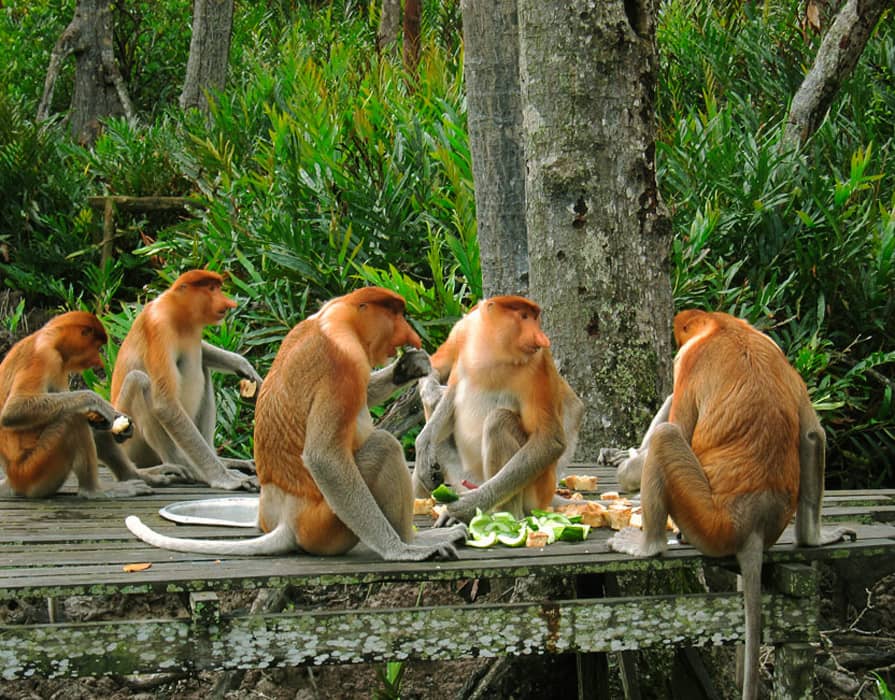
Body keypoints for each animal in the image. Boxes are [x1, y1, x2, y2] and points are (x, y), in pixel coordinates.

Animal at [0, 311, 186, 498]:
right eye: (96, 347)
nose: (99, 361)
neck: (49, 339)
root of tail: (12, 480)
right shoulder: (43, 357)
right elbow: (13, 410)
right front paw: (96, 400)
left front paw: (118, 423)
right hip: (35, 471)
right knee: (72, 419)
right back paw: (94, 491)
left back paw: (137, 475)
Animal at [110, 269, 264, 491]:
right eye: (211, 289)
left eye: (217, 288)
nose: (229, 303)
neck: (178, 313)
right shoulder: (159, 327)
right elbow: (165, 405)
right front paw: (226, 479)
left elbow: (204, 353)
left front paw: (242, 365)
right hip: (130, 442)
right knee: (139, 380)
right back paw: (181, 466)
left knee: (203, 366)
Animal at [125, 286, 467, 560]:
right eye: (395, 315)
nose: (410, 336)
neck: (336, 317)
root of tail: (287, 522)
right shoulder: (344, 361)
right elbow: (324, 458)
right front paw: (402, 551)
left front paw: (409, 367)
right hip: (325, 523)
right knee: (383, 446)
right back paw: (413, 539)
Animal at [412, 296, 584, 524]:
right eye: (524, 316)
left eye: (535, 318)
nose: (541, 338)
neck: (494, 351)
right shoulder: (465, 332)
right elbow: (450, 389)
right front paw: (423, 447)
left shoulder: (538, 367)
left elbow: (550, 438)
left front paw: (467, 507)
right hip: (462, 475)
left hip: (537, 489)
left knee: (499, 421)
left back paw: (506, 516)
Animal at [607, 309, 855, 700]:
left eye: (682, 336)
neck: (726, 327)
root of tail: (752, 525)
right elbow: (814, 433)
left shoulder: (689, 362)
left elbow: (680, 423)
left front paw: (626, 467)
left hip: (704, 519)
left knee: (668, 434)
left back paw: (648, 545)